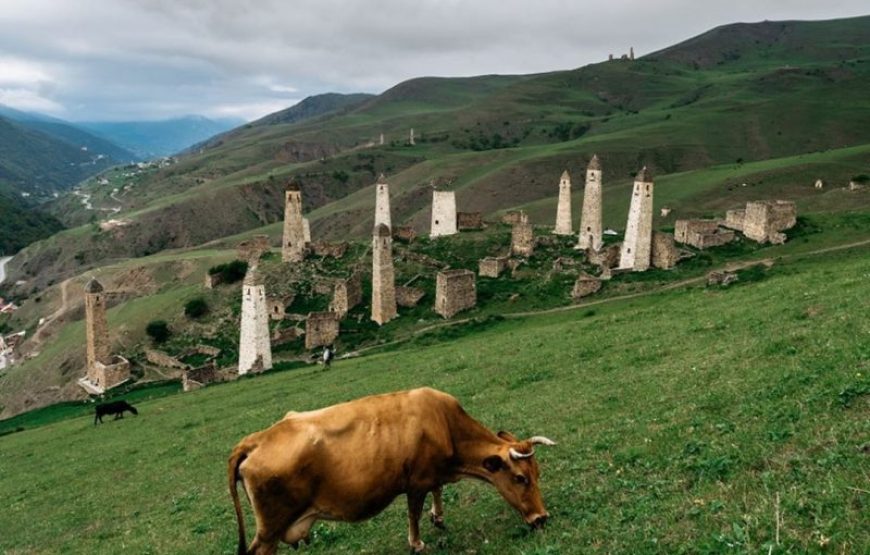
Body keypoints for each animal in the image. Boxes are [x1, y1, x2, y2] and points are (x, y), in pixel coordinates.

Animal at [230, 388, 560, 552]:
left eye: (538, 473)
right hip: (270, 529)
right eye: (520, 478)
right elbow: (414, 513)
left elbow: (438, 490)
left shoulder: (433, 474)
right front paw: (417, 543)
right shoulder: (416, 482)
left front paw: (438, 516)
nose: (542, 518)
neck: (445, 425)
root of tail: (255, 440)